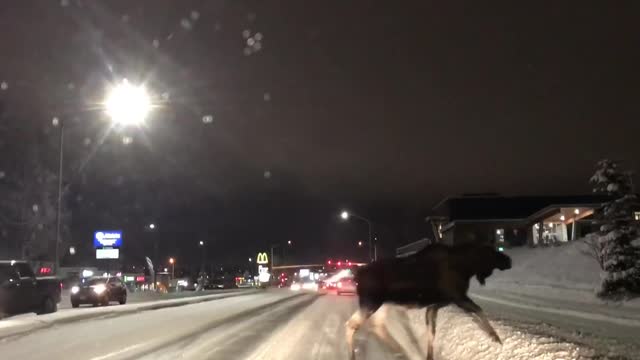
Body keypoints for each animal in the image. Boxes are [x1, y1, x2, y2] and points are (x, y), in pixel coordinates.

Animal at [342, 243, 512, 358]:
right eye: (492, 252)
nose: (509, 260)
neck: (467, 267)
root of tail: (357, 275)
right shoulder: (458, 297)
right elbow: (479, 309)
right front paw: (496, 338)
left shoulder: (436, 304)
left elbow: (432, 332)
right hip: (371, 302)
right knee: (351, 325)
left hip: (383, 305)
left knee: (377, 326)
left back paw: (398, 350)